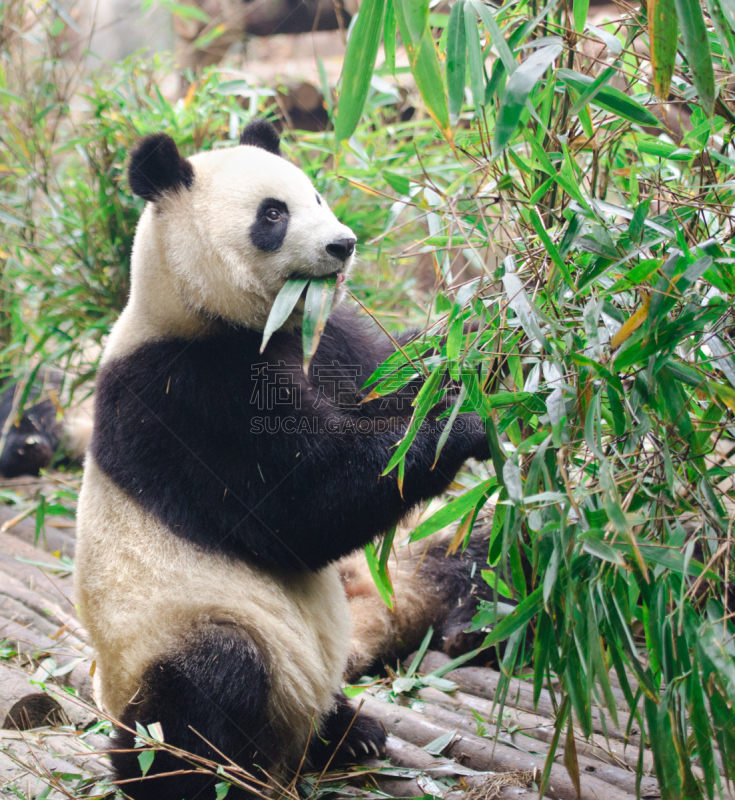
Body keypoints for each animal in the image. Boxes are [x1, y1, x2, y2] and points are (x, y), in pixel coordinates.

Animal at [75, 120, 492, 800]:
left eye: (316, 196)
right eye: (273, 214)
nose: (343, 244)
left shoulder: (326, 340)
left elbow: (384, 378)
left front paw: (490, 338)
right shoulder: (182, 393)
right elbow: (298, 507)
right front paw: (462, 423)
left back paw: (352, 733)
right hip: (172, 639)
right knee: (209, 685)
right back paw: (191, 776)